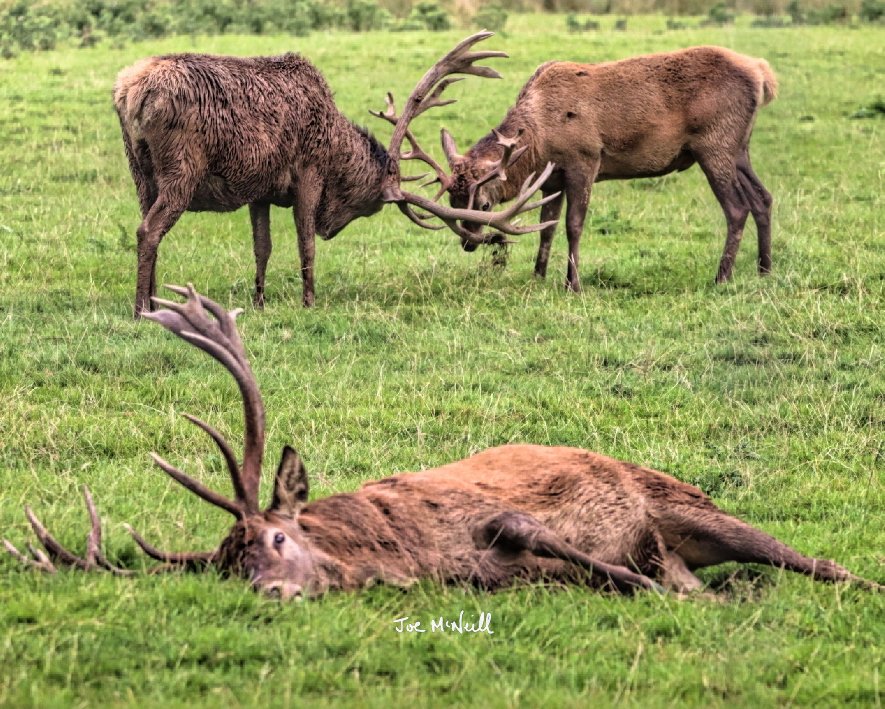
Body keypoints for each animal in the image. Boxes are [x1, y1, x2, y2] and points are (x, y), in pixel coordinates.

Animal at [5, 285, 878, 600]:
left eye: (276, 536)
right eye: (228, 564)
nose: (268, 591)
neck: (410, 552)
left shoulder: (496, 515)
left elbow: (592, 555)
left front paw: (681, 593)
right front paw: (680, 589)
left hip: (691, 504)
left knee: (820, 560)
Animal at [114, 32, 557, 317]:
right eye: (373, 203)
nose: (333, 227)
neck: (335, 147)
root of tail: (130, 92)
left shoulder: (260, 188)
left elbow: (262, 247)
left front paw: (259, 301)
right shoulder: (308, 171)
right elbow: (305, 243)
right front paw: (309, 300)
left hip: (140, 171)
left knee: (146, 225)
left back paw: (155, 300)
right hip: (181, 168)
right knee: (148, 230)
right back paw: (140, 308)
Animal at [439, 45, 779, 292]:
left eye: (484, 204)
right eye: (453, 199)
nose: (468, 243)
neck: (539, 139)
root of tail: (762, 74)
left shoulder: (585, 159)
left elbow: (573, 224)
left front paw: (573, 284)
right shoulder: (551, 179)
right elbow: (547, 227)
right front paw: (538, 276)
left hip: (714, 144)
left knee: (737, 207)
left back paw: (721, 278)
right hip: (739, 149)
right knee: (763, 197)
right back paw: (764, 270)